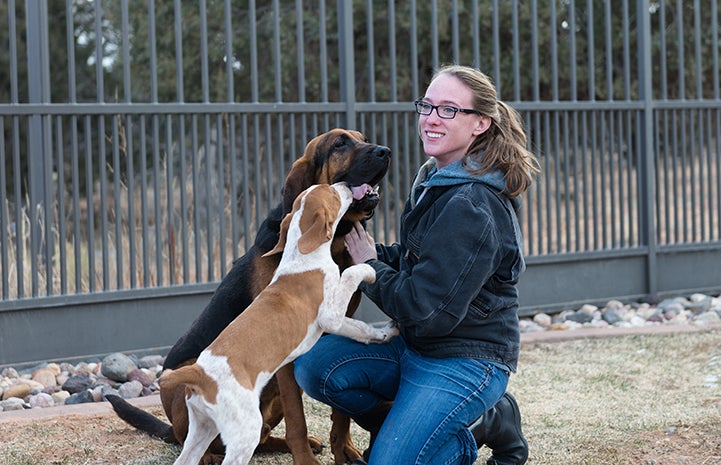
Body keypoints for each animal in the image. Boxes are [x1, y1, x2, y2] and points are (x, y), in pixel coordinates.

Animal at [156, 181, 400, 464]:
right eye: (332, 192)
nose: (345, 185)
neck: (302, 256)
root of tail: (197, 373)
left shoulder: (337, 321)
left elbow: (360, 329)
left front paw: (385, 334)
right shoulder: (331, 315)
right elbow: (350, 274)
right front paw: (370, 270)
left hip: (202, 428)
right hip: (244, 432)